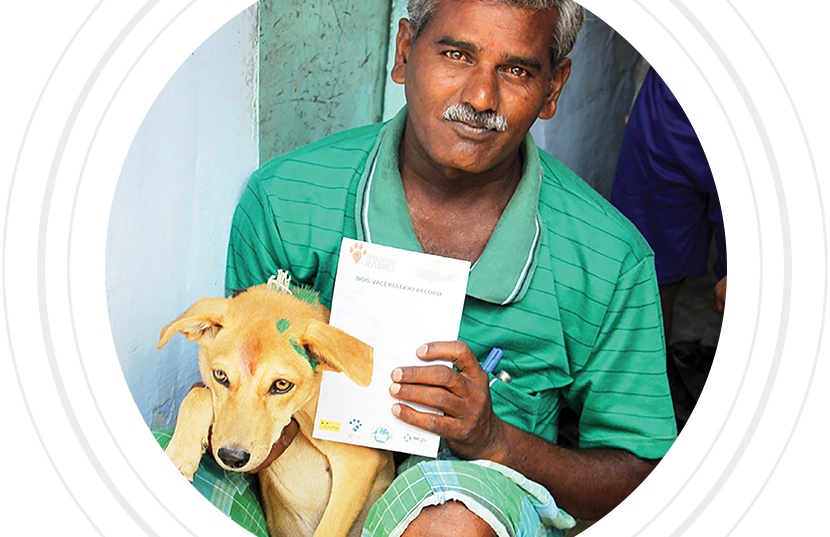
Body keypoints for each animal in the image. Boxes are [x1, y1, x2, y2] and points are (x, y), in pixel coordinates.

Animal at [157, 282, 396, 532]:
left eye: (282, 385)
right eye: (220, 375)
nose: (231, 457)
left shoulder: (359, 462)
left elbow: (328, 529)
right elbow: (199, 393)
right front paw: (181, 454)